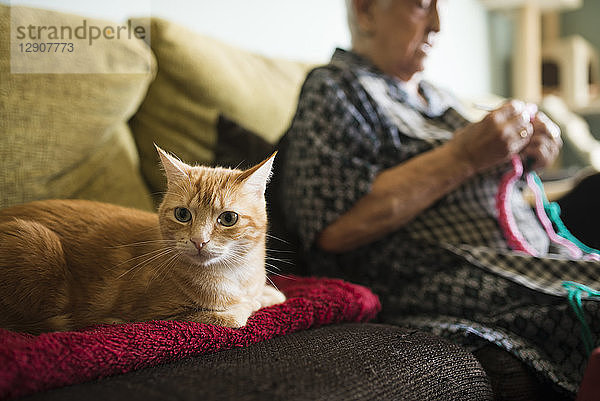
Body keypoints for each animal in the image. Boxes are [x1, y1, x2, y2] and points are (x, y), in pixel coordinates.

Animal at [0, 145, 284, 332]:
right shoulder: (158, 315)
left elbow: (271, 295)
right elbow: (233, 316)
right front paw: (252, 303)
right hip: (34, 241)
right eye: (183, 214)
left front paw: (267, 295)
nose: (198, 241)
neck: (236, 276)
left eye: (228, 218)